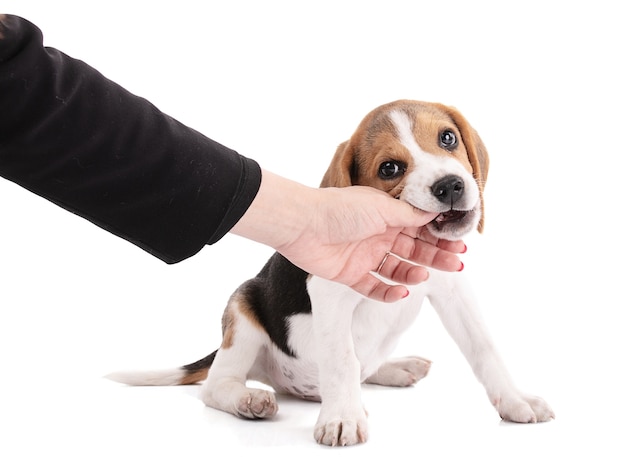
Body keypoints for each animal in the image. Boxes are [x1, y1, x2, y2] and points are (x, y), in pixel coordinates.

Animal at [107, 100, 552, 446]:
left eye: (447, 138)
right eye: (390, 169)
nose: (450, 186)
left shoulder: (453, 288)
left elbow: (485, 350)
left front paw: (515, 400)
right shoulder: (330, 294)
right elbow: (342, 361)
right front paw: (343, 419)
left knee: (366, 366)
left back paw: (396, 367)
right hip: (242, 309)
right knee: (217, 386)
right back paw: (249, 399)